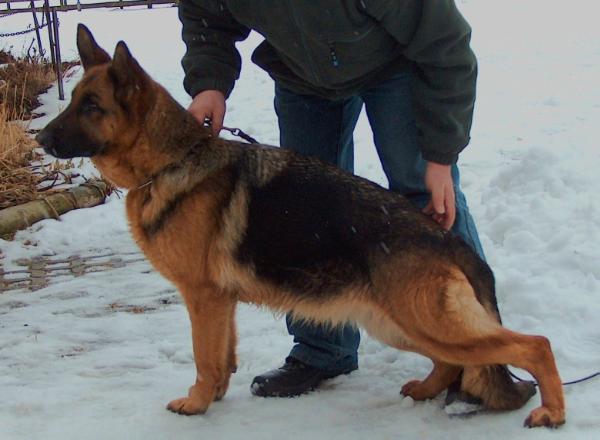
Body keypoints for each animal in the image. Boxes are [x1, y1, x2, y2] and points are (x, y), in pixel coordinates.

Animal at [35, 24, 564, 430]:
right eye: (74, 101)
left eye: (91, 107)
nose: (39, 138)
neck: (171, 160)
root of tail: (453, 244)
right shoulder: (220, 303)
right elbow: (222, 356)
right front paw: (216, 396)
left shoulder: (203, 297)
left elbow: (205, 357)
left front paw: (196, 403)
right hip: (397, 322)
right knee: (456, 358)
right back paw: (427, 390)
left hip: (424, 321)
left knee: (533, 345)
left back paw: (552, 413)